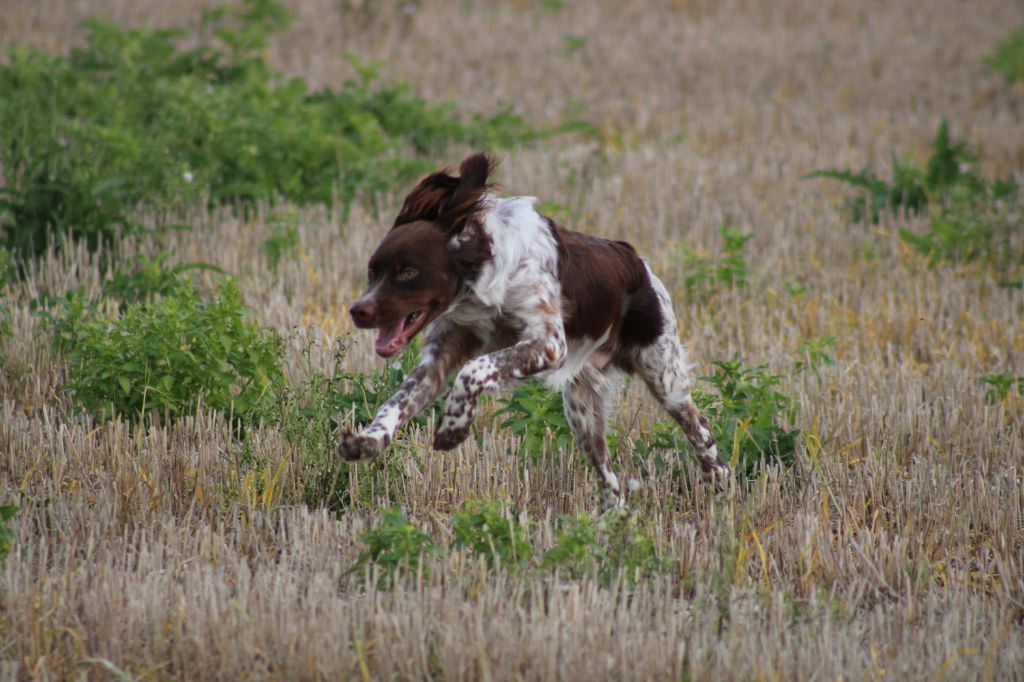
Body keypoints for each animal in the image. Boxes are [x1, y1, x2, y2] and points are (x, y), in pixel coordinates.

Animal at [335, 153, 729, 503]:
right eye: (373, 271)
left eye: (407, 272)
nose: (358, 310)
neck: (479, 280)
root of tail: (637, 262)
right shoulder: (439, 360)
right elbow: (394, 405)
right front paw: (367, 442)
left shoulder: (549, 344)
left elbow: (473, 369)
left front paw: (453, 427)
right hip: (582, 415)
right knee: (611, 484)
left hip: (665, 379)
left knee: (703, 437)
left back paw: (719, 488)